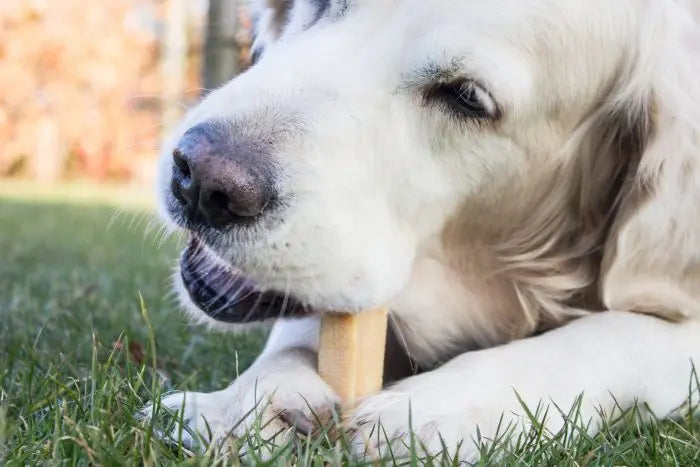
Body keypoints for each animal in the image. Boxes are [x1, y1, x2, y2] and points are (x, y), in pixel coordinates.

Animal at [148, 0, 700, 460]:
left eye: (466, 97)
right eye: (325, 1)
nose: (201, 181)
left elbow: (613, 335)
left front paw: (433, 411)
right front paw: (245, 403)